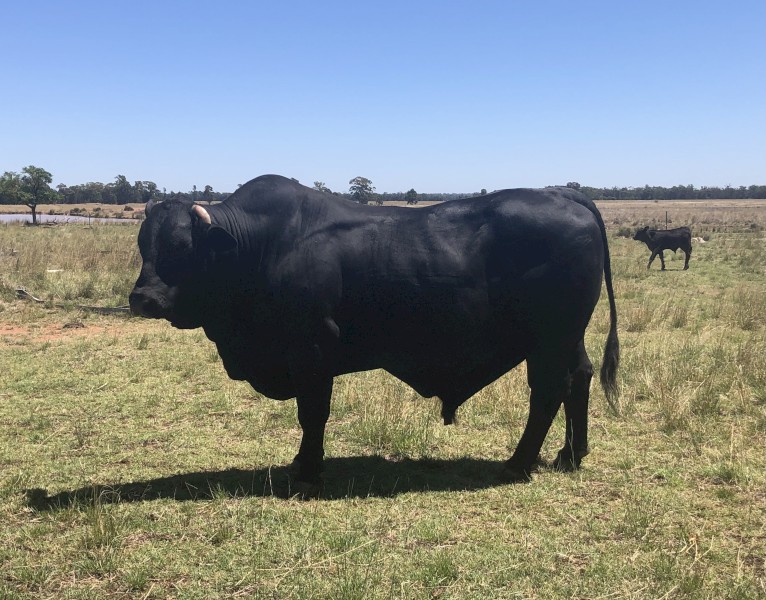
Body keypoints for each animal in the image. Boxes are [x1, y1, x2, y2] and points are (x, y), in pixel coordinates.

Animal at [129, 175, 619, 496]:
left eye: (182, 247)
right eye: (143, 244)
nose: (143, 299)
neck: (261, 246)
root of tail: (563, 193)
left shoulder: (311, 351)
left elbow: (313, 415)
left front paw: (308, 470)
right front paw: (301, 463)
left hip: (549, 340)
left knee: (548, 392)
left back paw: (518, 464)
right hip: (568, 337)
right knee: (579, 379)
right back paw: (570, 455)